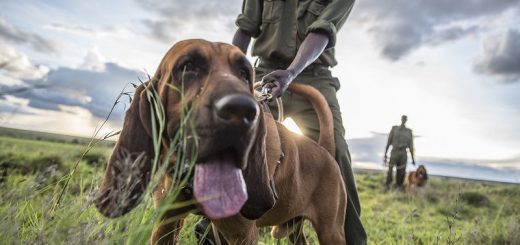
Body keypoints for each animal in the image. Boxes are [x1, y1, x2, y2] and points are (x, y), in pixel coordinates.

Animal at [94, 39, 346, 244]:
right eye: (188, 66)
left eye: (245, 73)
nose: (242, 111)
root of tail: (324, 150)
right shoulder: (165, 224)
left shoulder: (241, 234)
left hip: (331, 232)